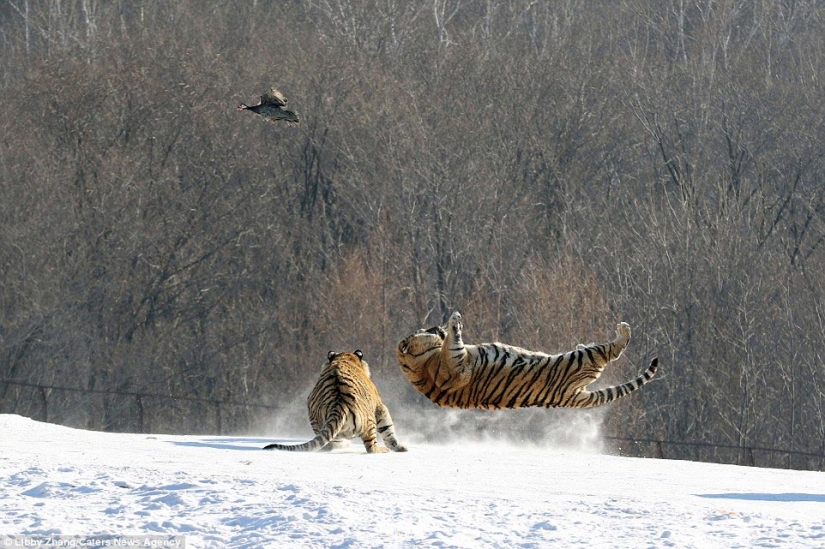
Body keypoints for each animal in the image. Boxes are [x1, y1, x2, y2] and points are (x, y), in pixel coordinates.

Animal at [264, 350, 408, 453]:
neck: (344, 358)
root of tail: (339, 403)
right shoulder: (380, 407)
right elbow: (388, 429)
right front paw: (400, 447)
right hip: (368, 423)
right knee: (371, 447)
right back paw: (383, 449)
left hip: (318, 422)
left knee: (330, 445)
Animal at [397, 311, 658, 410]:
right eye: (427, 330)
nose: (436, 326)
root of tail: (573, 397)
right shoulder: (457, 366)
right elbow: (454, 341)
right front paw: (455, 320)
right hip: (581, 361)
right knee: (611, 350)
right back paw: (623, 330)